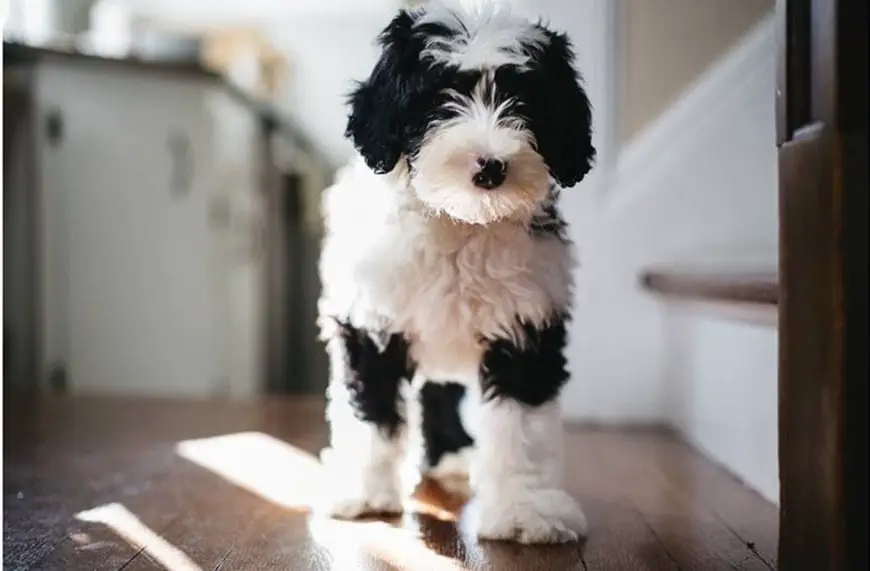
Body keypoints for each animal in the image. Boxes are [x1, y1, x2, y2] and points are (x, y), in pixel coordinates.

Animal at [316, 0, 596, 544]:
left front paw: (525, 510)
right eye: (439, 98)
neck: (460, 220)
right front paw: (364, 493)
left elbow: (520, 423)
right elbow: (372, 408)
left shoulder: (526, 326)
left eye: (524, 100)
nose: (490, 166)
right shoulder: (372, 321)